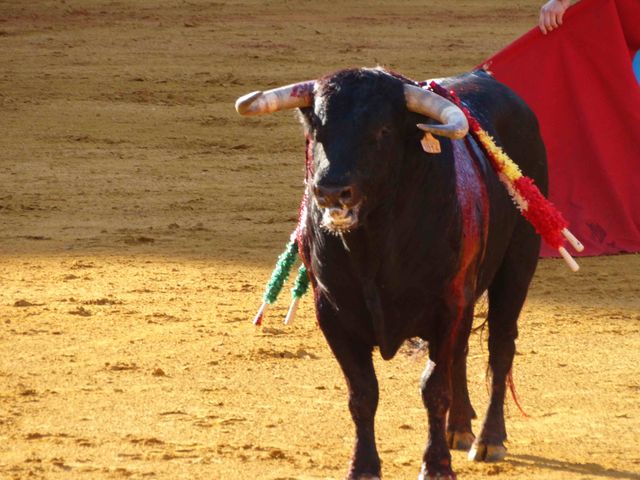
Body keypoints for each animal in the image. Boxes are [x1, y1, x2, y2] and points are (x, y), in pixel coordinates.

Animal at [238, 68, 548, 480]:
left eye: (383, 130)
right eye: (317, 128)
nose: (331, 191)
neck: (374, 245)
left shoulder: (448, 306)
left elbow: (434, 388)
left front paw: (436, 465)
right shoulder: (333, 315)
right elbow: (362, 393)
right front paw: (363, 466)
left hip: (518, 263)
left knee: (500, 345)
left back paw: (489, 439)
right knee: (463, 352)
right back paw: (459, 428)